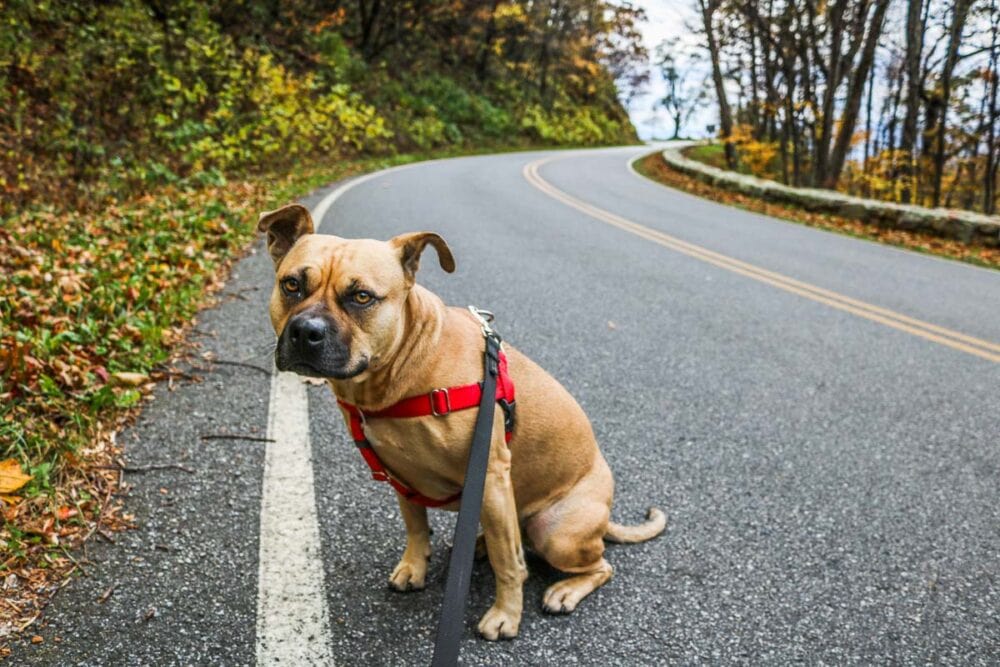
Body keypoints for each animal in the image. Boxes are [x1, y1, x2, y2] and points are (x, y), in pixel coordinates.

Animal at [258, 202, 664, 636]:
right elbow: (416, 526)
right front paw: (414, 567)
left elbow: (508, 563)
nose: (306, 332)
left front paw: (506, 615)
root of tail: (605, 515)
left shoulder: (490, 476)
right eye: (291, 285)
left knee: (597, 565)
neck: (402, 370)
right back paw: (481, 544)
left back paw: (564, 590)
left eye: (362, 296)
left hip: (557, 532)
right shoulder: (402, 477)